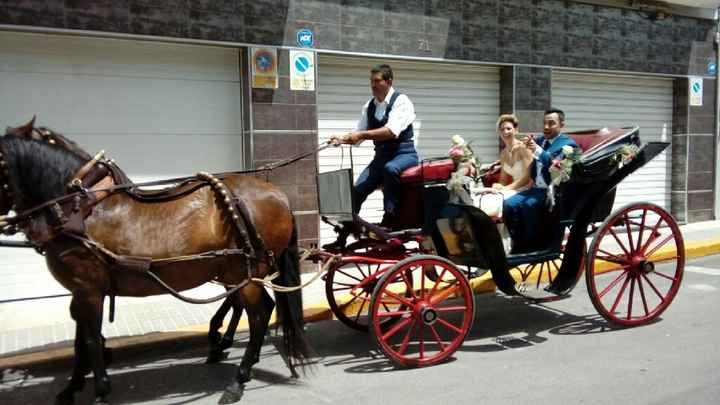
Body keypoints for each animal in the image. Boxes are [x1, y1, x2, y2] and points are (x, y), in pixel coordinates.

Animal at [2, 121, 312, 402]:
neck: (78, 208)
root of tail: (279, 195)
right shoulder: (82, 290)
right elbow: (81, 339)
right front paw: (72, 387)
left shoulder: (89, 290)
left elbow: (90, 340)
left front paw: (100, 390)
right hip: (237, 273)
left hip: (248, 273)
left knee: (260, 314)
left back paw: (238, 378)